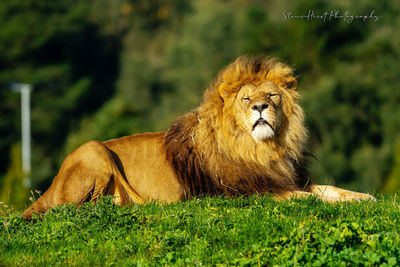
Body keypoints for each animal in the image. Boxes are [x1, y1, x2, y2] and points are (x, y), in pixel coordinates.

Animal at [21, 56, 374, 220]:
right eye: (247, 99)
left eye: (272, 95)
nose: (261, 107)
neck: (262, 149)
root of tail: (50, 188)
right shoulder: (252, 192)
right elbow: (310, 198)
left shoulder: (284, 178)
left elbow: (330, 190)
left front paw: (363, 198)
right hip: (94, 149)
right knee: (73, 209)